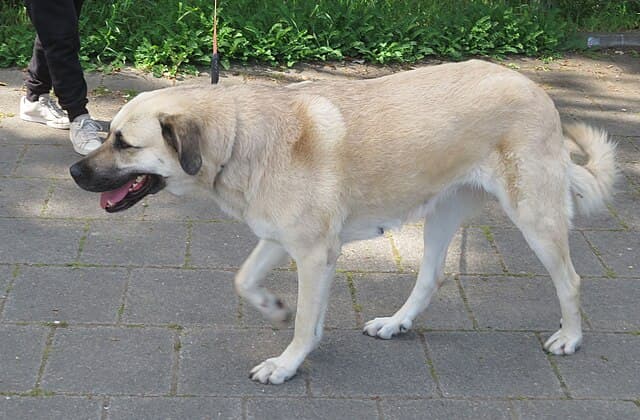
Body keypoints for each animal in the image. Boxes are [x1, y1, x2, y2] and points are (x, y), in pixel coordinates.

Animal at [70, 59, 616, 384]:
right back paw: (396, 323)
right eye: (108, 133)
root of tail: (535, 88)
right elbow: (243, 279)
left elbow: (307, 323)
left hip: (535, 217)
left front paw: (287, 362)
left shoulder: (316, 254)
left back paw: (570, 337)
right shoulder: (279, 237)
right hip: (441, 213)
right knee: (431, 277)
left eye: (124, 143)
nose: (74, 172)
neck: (242, 138)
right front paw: (273, 308)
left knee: (570, 279)